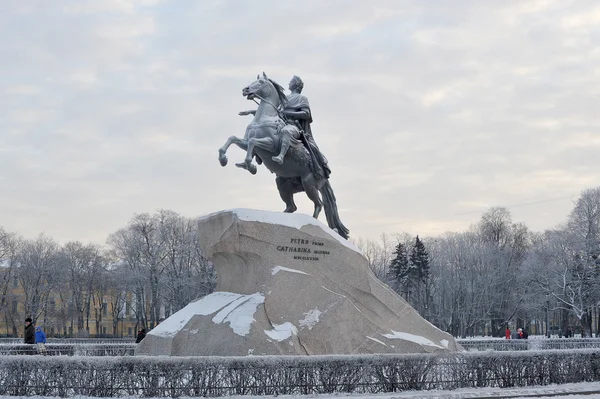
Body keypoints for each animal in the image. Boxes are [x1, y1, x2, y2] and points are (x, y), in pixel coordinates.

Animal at [218, 72, 350, 241]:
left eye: (261, 82)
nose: (245, 89)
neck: (265, 117)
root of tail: (325, 174)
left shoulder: (270, 145)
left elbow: (254, 143)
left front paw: (251, 166)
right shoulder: (245, 143)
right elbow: (233, 138)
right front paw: (223, 159)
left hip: (309, 184)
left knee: (319, 204)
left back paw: (315, 224)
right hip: (283, 184)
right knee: (292, 206)